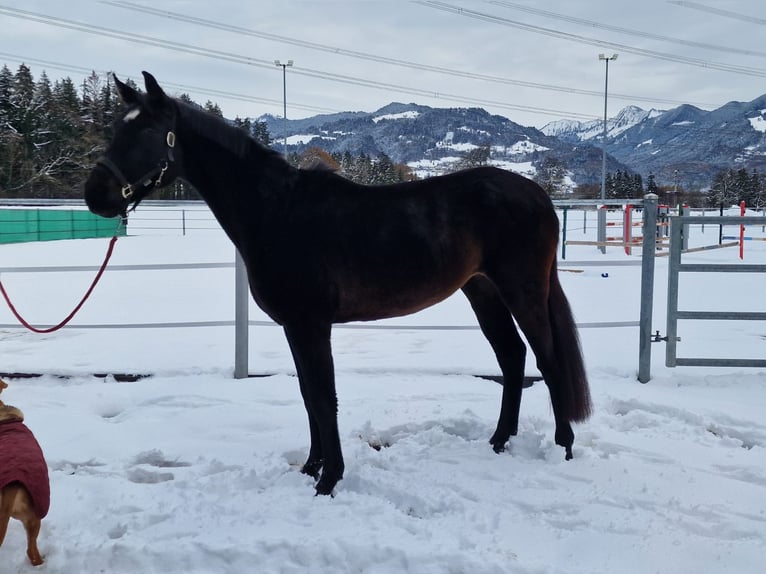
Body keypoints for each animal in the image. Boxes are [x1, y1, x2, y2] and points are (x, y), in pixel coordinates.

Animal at [84, 71, 592, 496]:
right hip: (482, 289)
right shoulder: (295, 327)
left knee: (546, 360)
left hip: (522, 289)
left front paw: (329, 481)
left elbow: (324, 398)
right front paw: (311, 468)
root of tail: (538, 195)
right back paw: (498, 441)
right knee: (512, 357)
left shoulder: (312, 325)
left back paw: (563, 447)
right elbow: (309, 396)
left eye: (148, 133)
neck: (277, 211)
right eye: (114, 131)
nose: (96, 196)